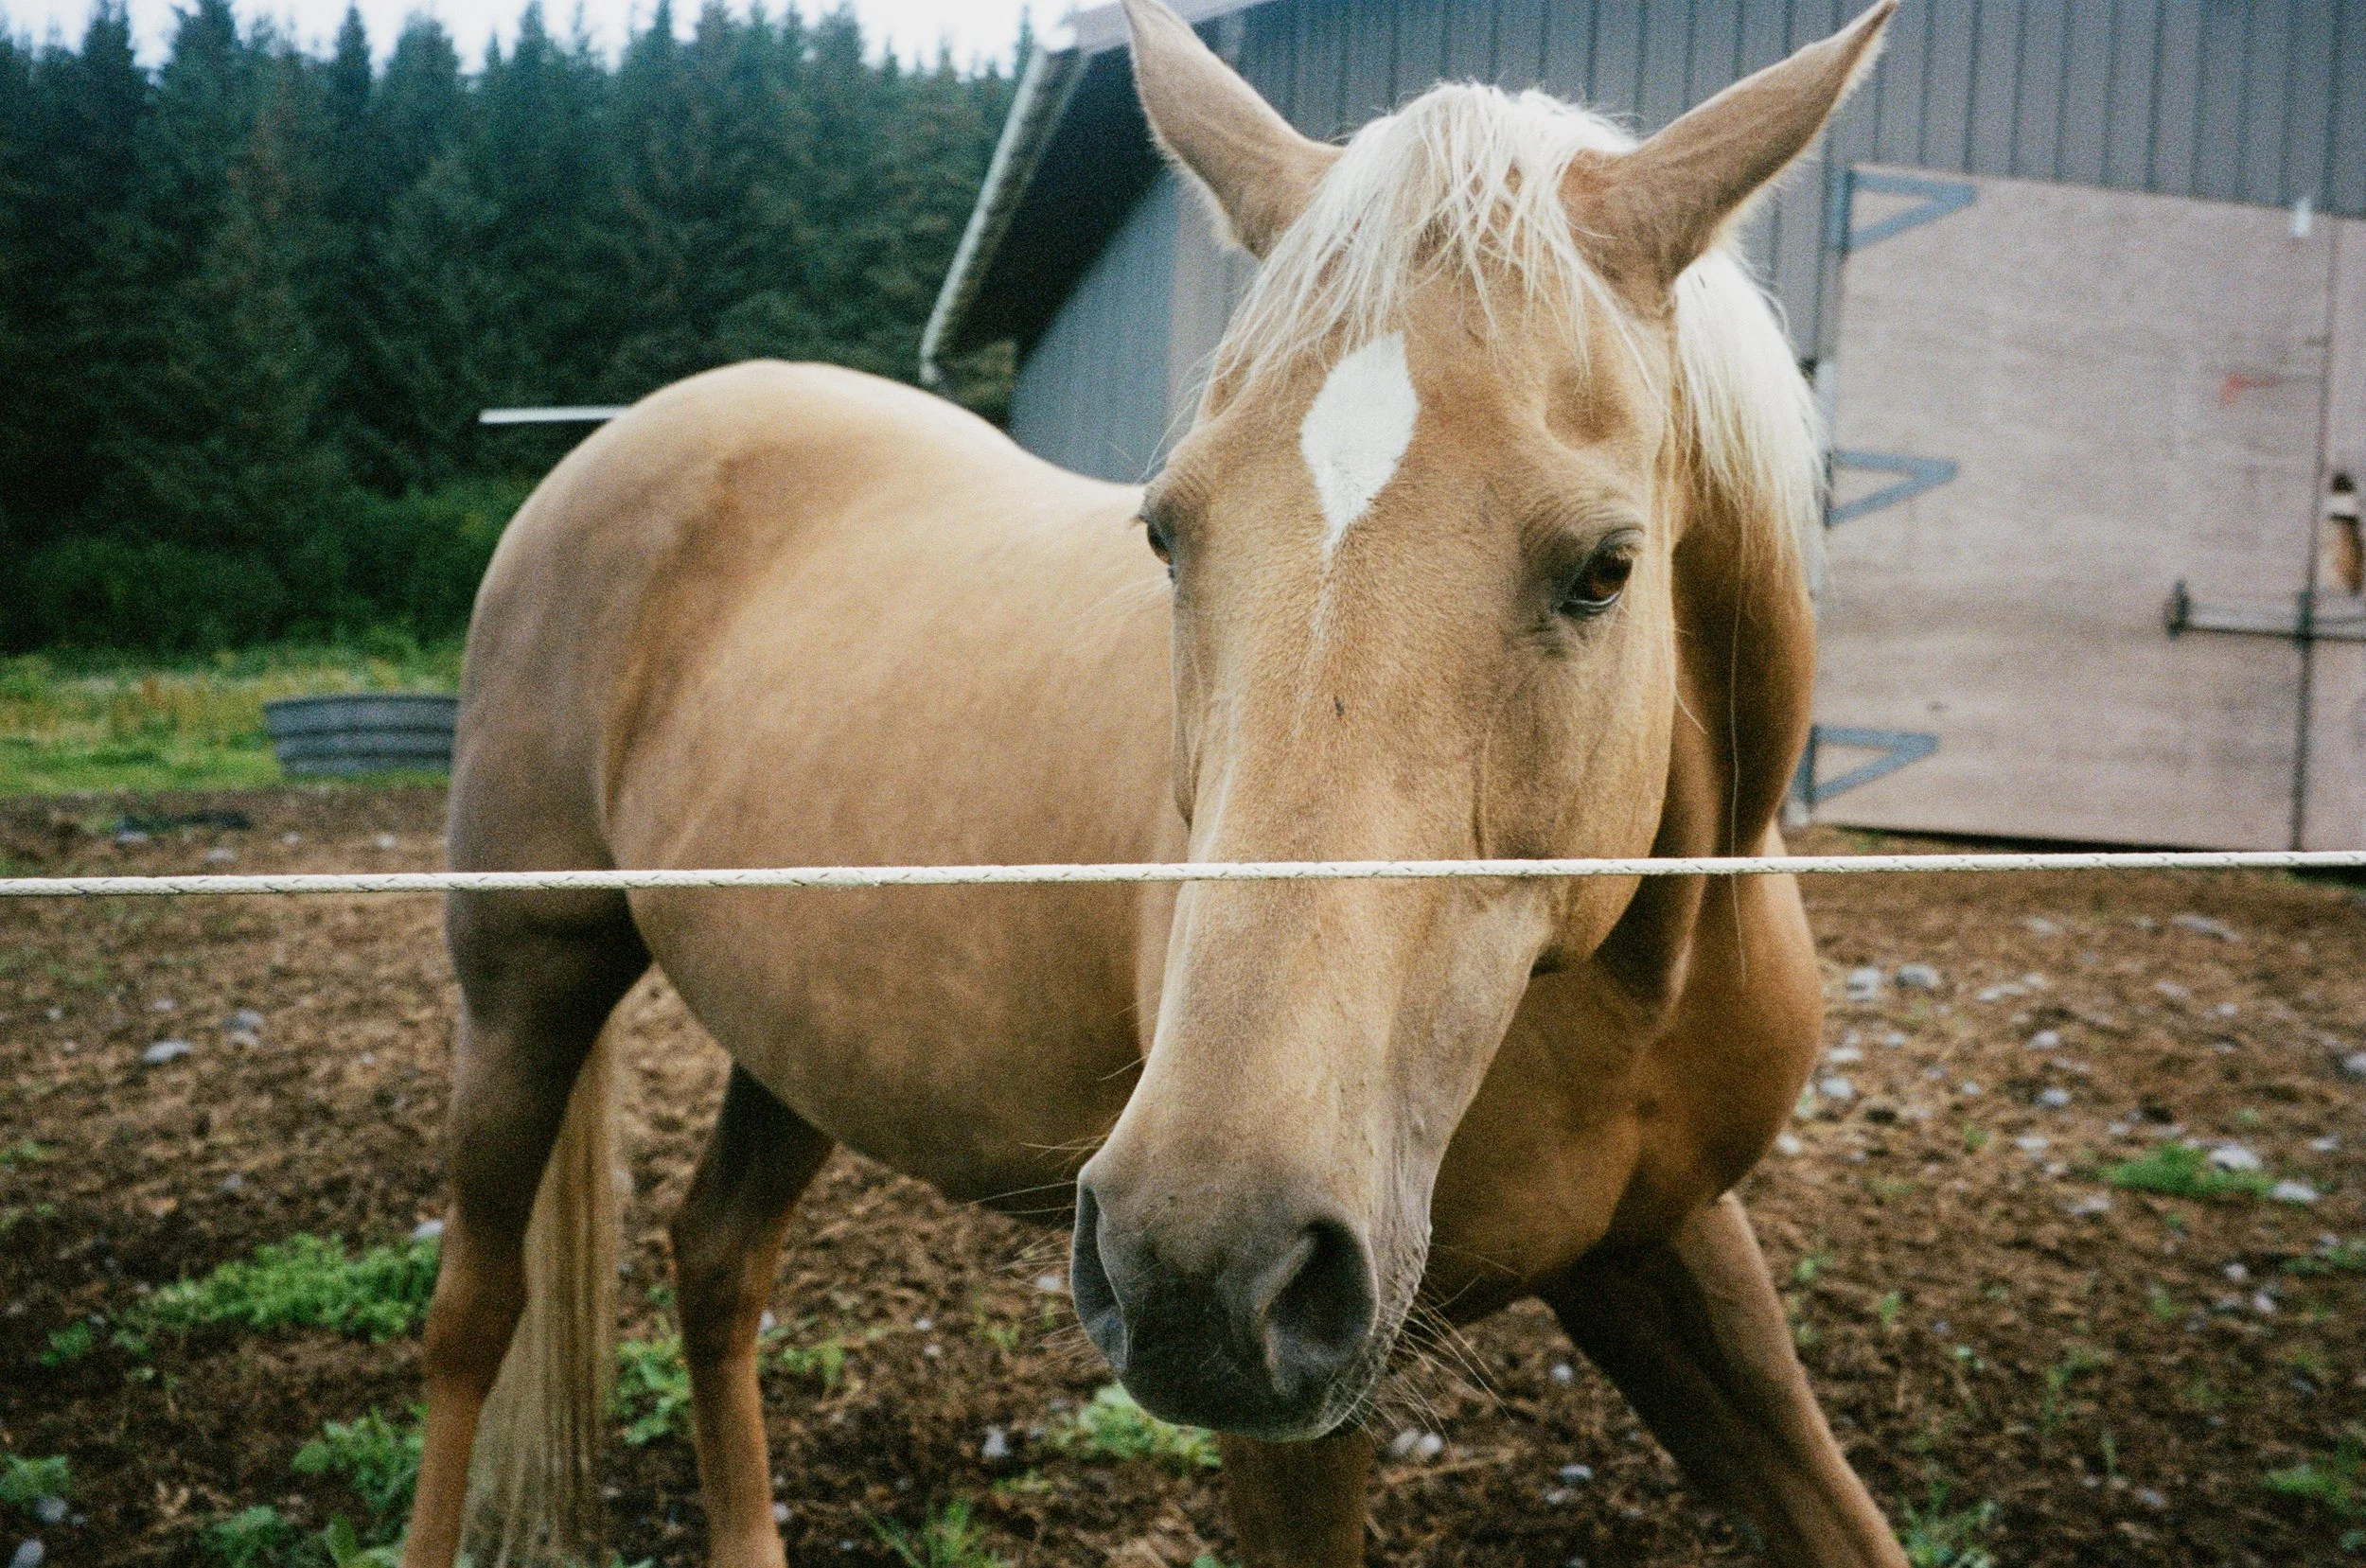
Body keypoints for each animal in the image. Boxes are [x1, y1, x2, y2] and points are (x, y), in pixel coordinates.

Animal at [398, 3, 1907, 1564]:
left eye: (1607, 566)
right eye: (1169, 532)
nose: (1201, 1260)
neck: (1632, 983)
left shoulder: (1660, 1240)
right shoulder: (1316, 1404)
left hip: (795, 1030)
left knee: (716, 1261)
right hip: (529, 975)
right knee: (475, 1313)